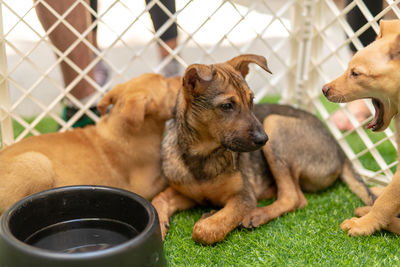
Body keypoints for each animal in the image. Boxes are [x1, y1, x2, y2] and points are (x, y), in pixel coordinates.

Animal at [153, 54, 376, 245]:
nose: (263, 140)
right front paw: (159, 227)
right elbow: (159, 199)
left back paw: (256, 215)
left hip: (274, 124)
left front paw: (210, 221)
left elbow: (203, 231)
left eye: (251, 100)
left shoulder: (244, 197)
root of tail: (341, 152)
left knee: (294, 197)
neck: (204, 155)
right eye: (227, 106)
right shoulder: (186, 192)